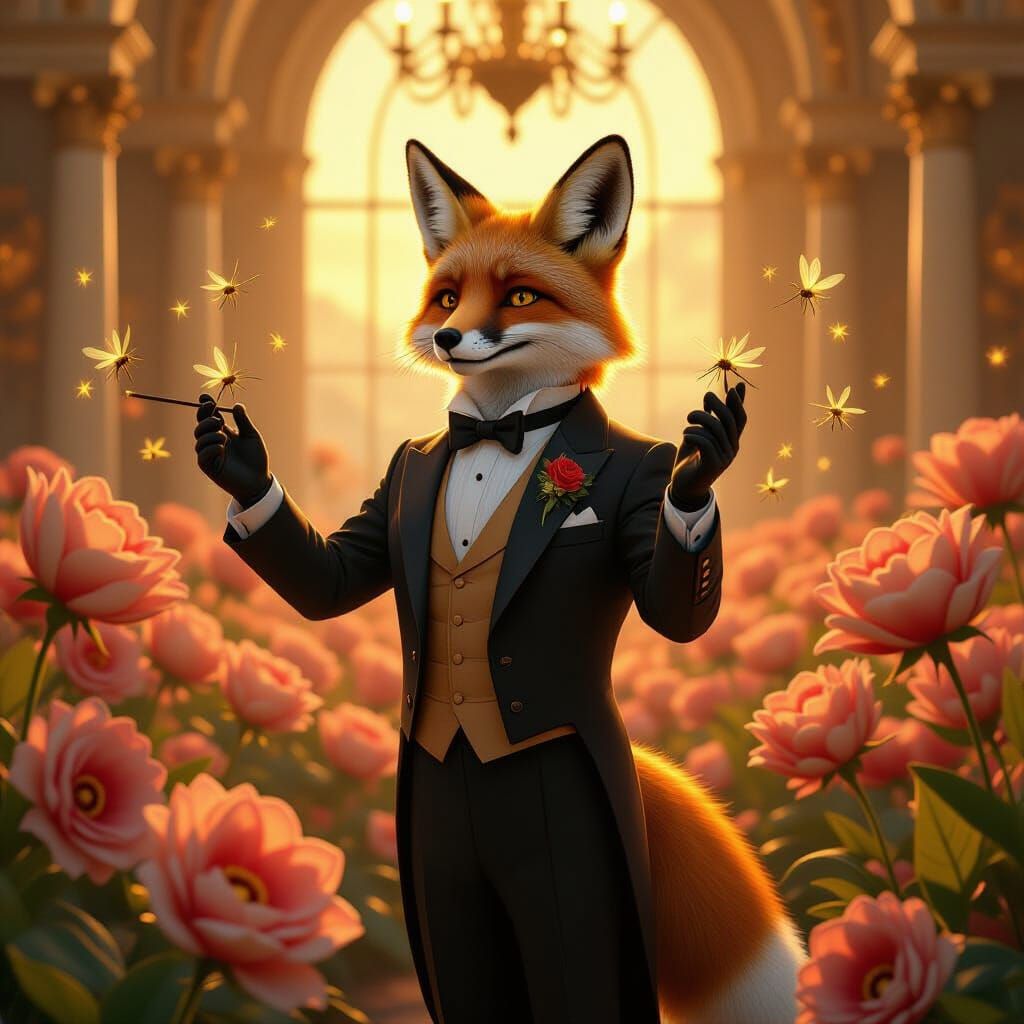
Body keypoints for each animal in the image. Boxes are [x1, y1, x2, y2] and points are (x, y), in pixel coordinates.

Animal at [196, 133, 805, 1024]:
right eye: (447, 296)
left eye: (519, 296)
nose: (450, 338)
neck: (497, 431)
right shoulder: (388, 507)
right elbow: (330, 579)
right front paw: (238, 465)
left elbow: (676, 602)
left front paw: (695, 477)